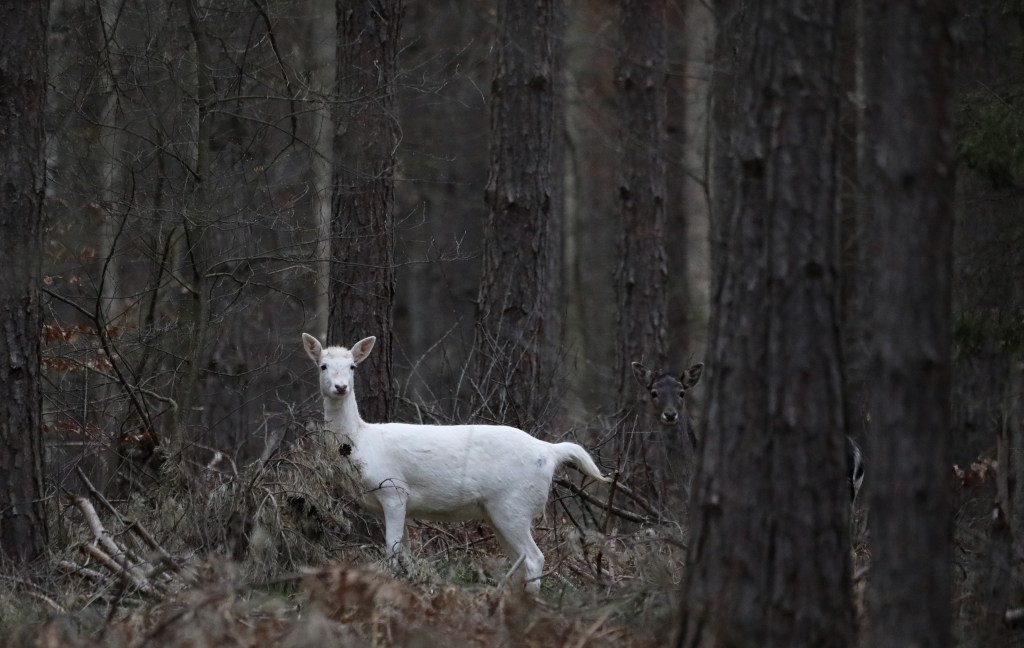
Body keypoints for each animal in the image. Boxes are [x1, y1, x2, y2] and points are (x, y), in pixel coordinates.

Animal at [302, 333, 610, 593]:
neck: (361, 441)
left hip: (514, 503)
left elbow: (392, 550)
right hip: (500, 511)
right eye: (323, 366)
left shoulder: (394, 489)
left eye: (352, 366)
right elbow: (404, 552)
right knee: (522, 558)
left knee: (535, 558)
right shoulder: (387, 504)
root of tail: (550, 450)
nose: (340, 387)